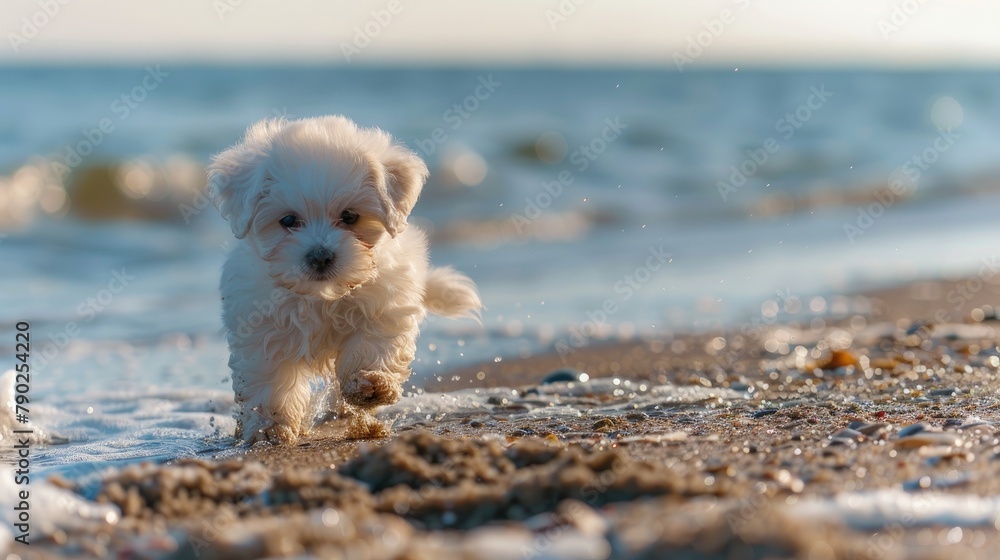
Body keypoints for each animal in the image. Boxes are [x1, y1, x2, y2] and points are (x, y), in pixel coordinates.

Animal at [209, 116, 482, 444]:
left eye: (350, 216)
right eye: (288, 221)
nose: (320, 256)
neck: (324, 296)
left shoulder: (386, 302)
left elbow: (372, 342)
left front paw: (370, 383)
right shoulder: (259, 322)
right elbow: (269, 377)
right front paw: (270, 428)